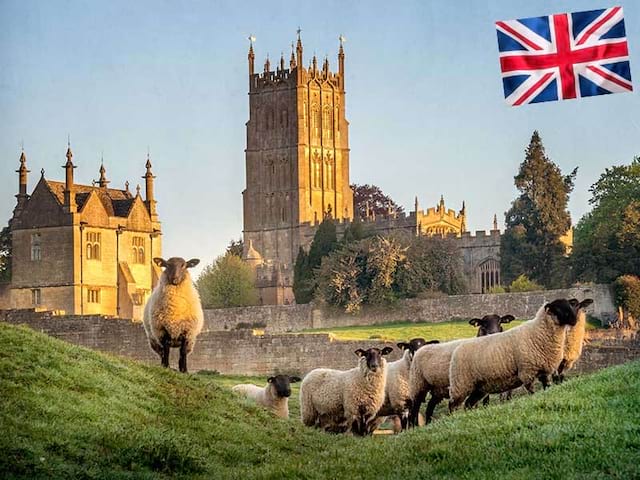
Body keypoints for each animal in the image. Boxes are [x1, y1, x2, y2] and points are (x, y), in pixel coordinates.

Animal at [444, 298, 592, 410]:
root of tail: (458, 348)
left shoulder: (544, 371)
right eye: (558, 309)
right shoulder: (527, 372)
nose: (574, 321)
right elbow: (532, 392)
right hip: (461, 385)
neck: (539, 331)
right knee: (453, 405)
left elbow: (547, 388)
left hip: (479, 387)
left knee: (469, 403)